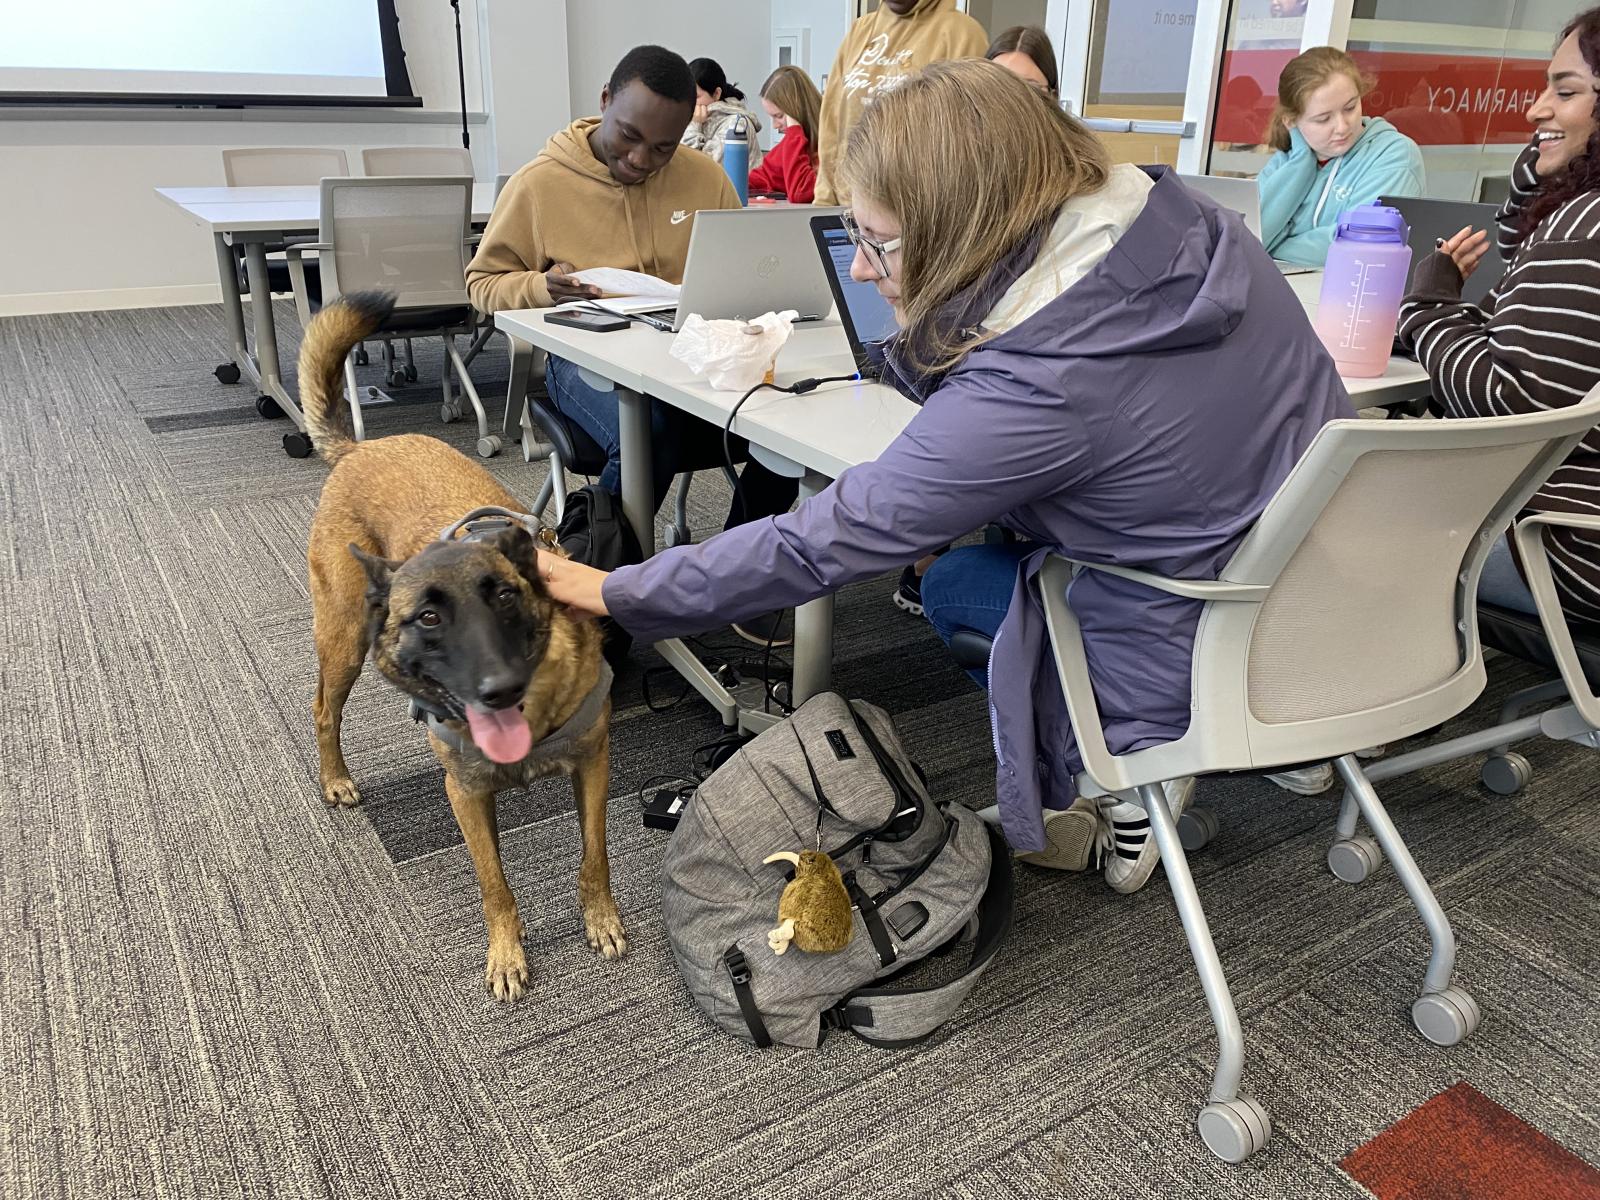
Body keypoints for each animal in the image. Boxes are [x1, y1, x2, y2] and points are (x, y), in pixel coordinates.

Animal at [300, 294, 624, 1004]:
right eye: (428, 618)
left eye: (503, 597)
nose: (496, 690)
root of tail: (364, 446)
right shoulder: (466, 794)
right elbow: (494, 884)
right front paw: (506, 953)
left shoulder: (592, 765)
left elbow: (594, 853)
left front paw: (600, 918)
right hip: (342, 641)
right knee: (324, 711)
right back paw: (334, 779)